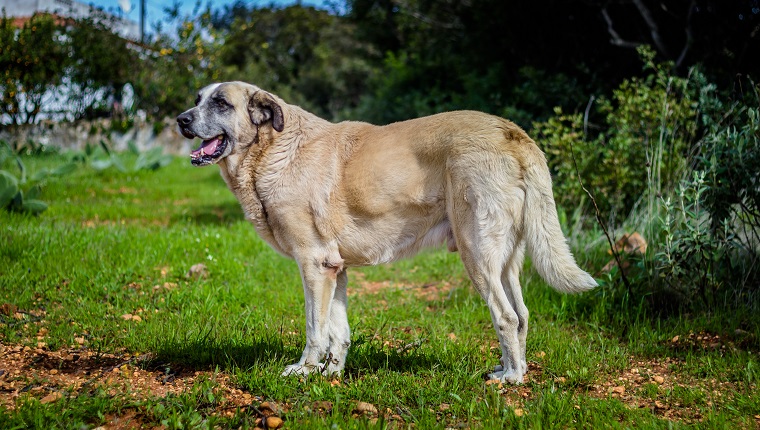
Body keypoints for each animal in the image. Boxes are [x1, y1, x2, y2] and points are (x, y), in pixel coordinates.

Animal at [175, 80, 596, 382]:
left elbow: (314, 328)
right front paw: (332, 373)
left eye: (221, 103)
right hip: (506, 260)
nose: (180, 120)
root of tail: (513, 132)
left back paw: (510, 378)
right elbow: (338, 330)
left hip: (477, 254)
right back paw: (515, 370)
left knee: (505, 316)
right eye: (198, 99)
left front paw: (304, 371)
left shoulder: (313, 265)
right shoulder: (335, 269)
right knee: (521, 315)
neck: (273, 149)